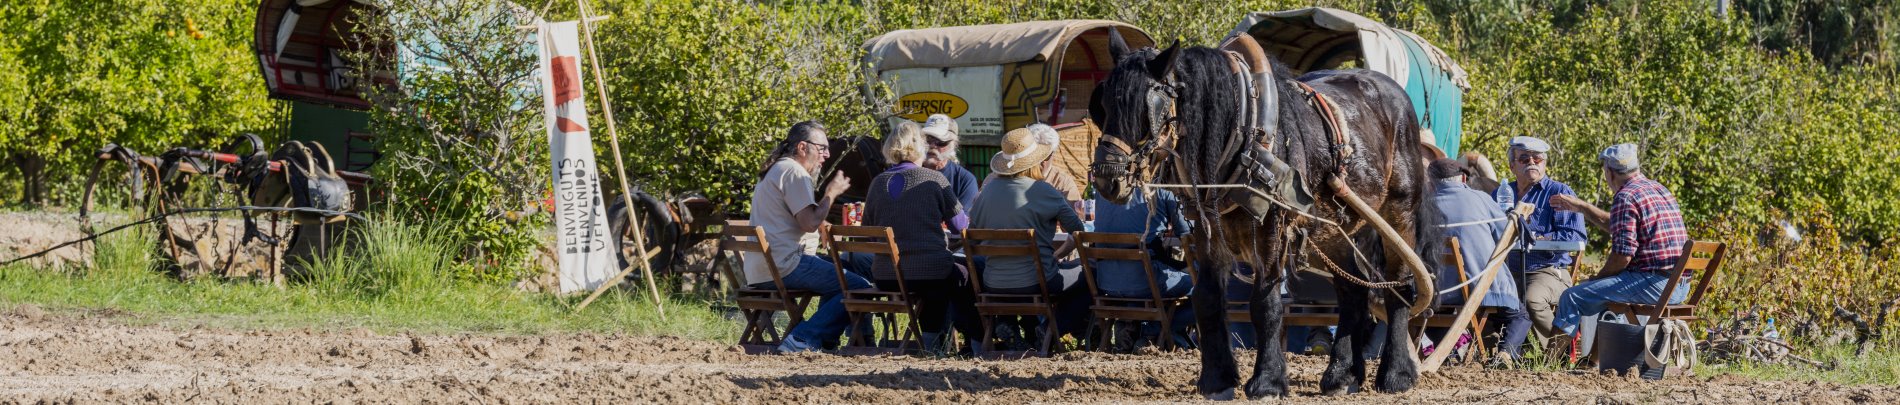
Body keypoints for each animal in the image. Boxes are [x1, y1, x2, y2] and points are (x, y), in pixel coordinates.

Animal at [1086, 32, 1428, 399]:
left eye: (1148, 108)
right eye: (1103, 104)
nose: (1107, 178)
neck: (1241, 132)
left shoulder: (1271, 230)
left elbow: (1265, 305)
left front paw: (1268, 381)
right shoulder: (1207, 230)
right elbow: (1207, 299)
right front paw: (1217, 379)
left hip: (1399, 214)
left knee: (1399, 289)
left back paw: (1396, 374)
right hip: (1336, 228)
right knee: (1353, 292)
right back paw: (1341, 375)